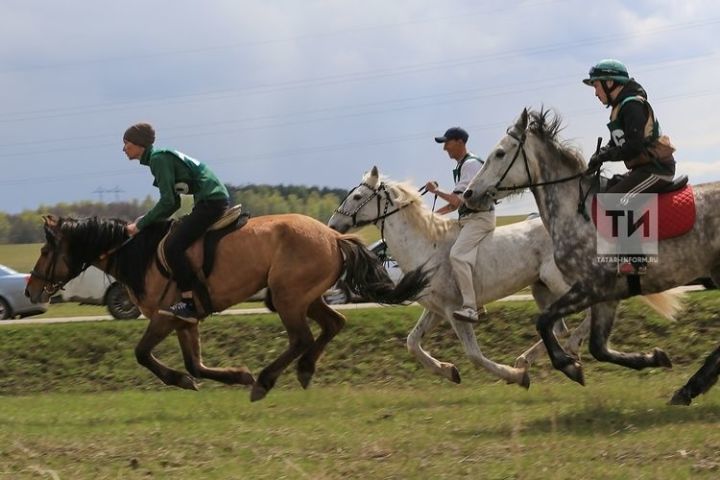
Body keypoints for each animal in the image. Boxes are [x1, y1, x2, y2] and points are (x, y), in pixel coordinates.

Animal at [25, 214, 430, 402]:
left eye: (45, 250)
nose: (30, 291)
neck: (137, 254)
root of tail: (333, 235)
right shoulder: (185, 321)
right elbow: (195, 364)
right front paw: (233, 375)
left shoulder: (164, 317)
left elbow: (142, 354)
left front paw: (197, 380)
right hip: (305, 296)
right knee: (333, 323)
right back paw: (303, 371)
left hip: (288, 297)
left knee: (301, 337)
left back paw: (266, 381)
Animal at [330, 167, 684, 388]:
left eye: (358, 197)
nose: (333, 225)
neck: (426, 245)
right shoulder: (436, 310)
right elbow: (412, 343)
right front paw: (449, 372)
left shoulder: (455, 312)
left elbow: (474, 355)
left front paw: (514, 377)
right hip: (542, 288)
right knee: (559, 325)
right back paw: (534, 357)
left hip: (562, 282)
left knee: (585, 317)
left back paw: (564, 353)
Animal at [464, 108, 716, 404]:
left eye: (500, 153)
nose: (468, 194)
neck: (576, 212)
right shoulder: (606, 296)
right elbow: (598, 348)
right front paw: (654, 357)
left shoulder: (590, 287)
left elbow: (544, 321)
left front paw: (568, 365)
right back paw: (689, 388)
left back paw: (691, 387)